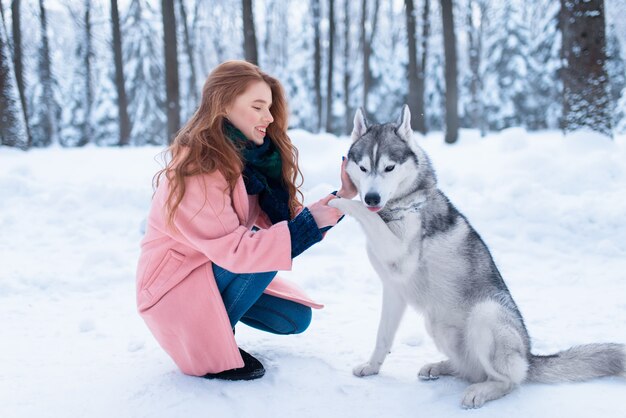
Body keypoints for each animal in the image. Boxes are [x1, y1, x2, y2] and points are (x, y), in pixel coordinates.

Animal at [330, 106, 620, 410]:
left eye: (389, 167)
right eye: (364, 168)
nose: (372, 198)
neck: (399, 206)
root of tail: (529, 356)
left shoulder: (399, 252)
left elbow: (366, 217)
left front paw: (339, 201)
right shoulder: (393, 291)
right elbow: (382, 337)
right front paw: (372, 367)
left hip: (486, 314)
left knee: (508, 381)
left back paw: (481, 391)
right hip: (438, 325)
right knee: (469, 369)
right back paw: (441, 367)